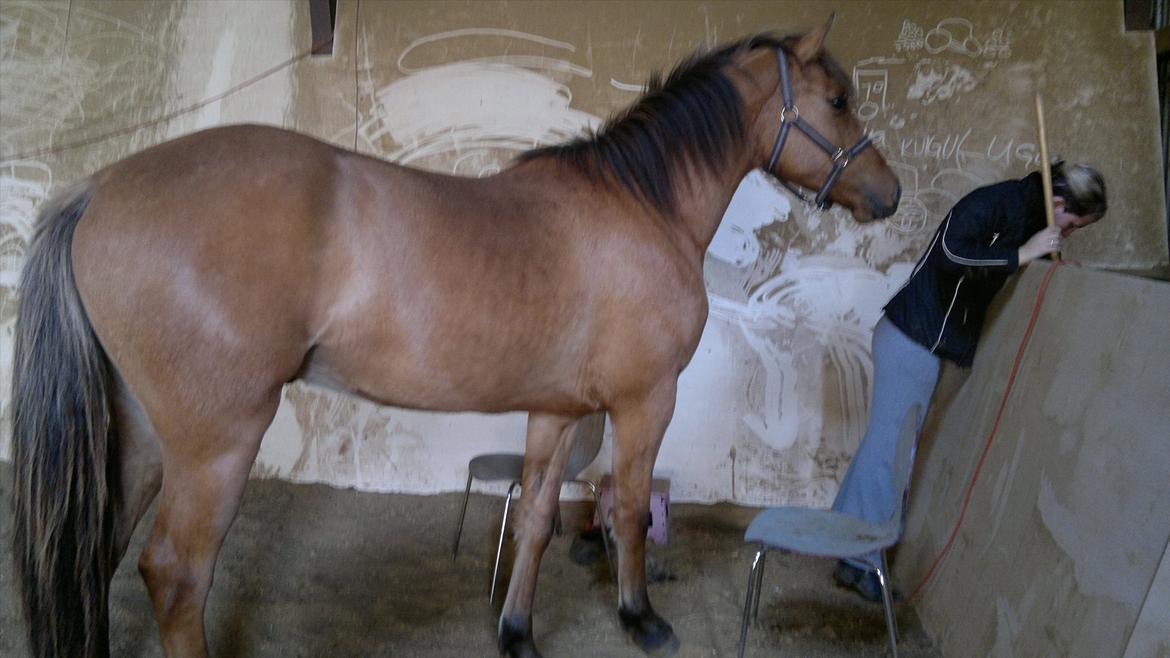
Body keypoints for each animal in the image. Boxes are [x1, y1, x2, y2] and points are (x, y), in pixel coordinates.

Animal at [11, 17, 899, 658]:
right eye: (837, 100)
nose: (888, 194)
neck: (641, 205)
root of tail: (98, 190)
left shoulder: (558, 411)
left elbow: (537, 518)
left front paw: (517, 631)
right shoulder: (646, 401)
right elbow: (631, 507)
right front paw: (639, 617)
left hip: (141, 434)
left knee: (98, 552)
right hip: (215, 443)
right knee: (176, 577)